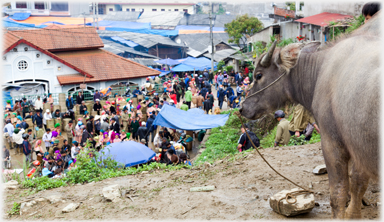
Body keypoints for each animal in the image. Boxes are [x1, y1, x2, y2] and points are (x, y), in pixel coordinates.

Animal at [240, 12, 380, 219]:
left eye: (258, 75)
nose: (242, 107)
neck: (320, 70)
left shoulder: (332, 142)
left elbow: (338, 194)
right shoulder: (357, 145)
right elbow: (358, 183)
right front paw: (353, 213)